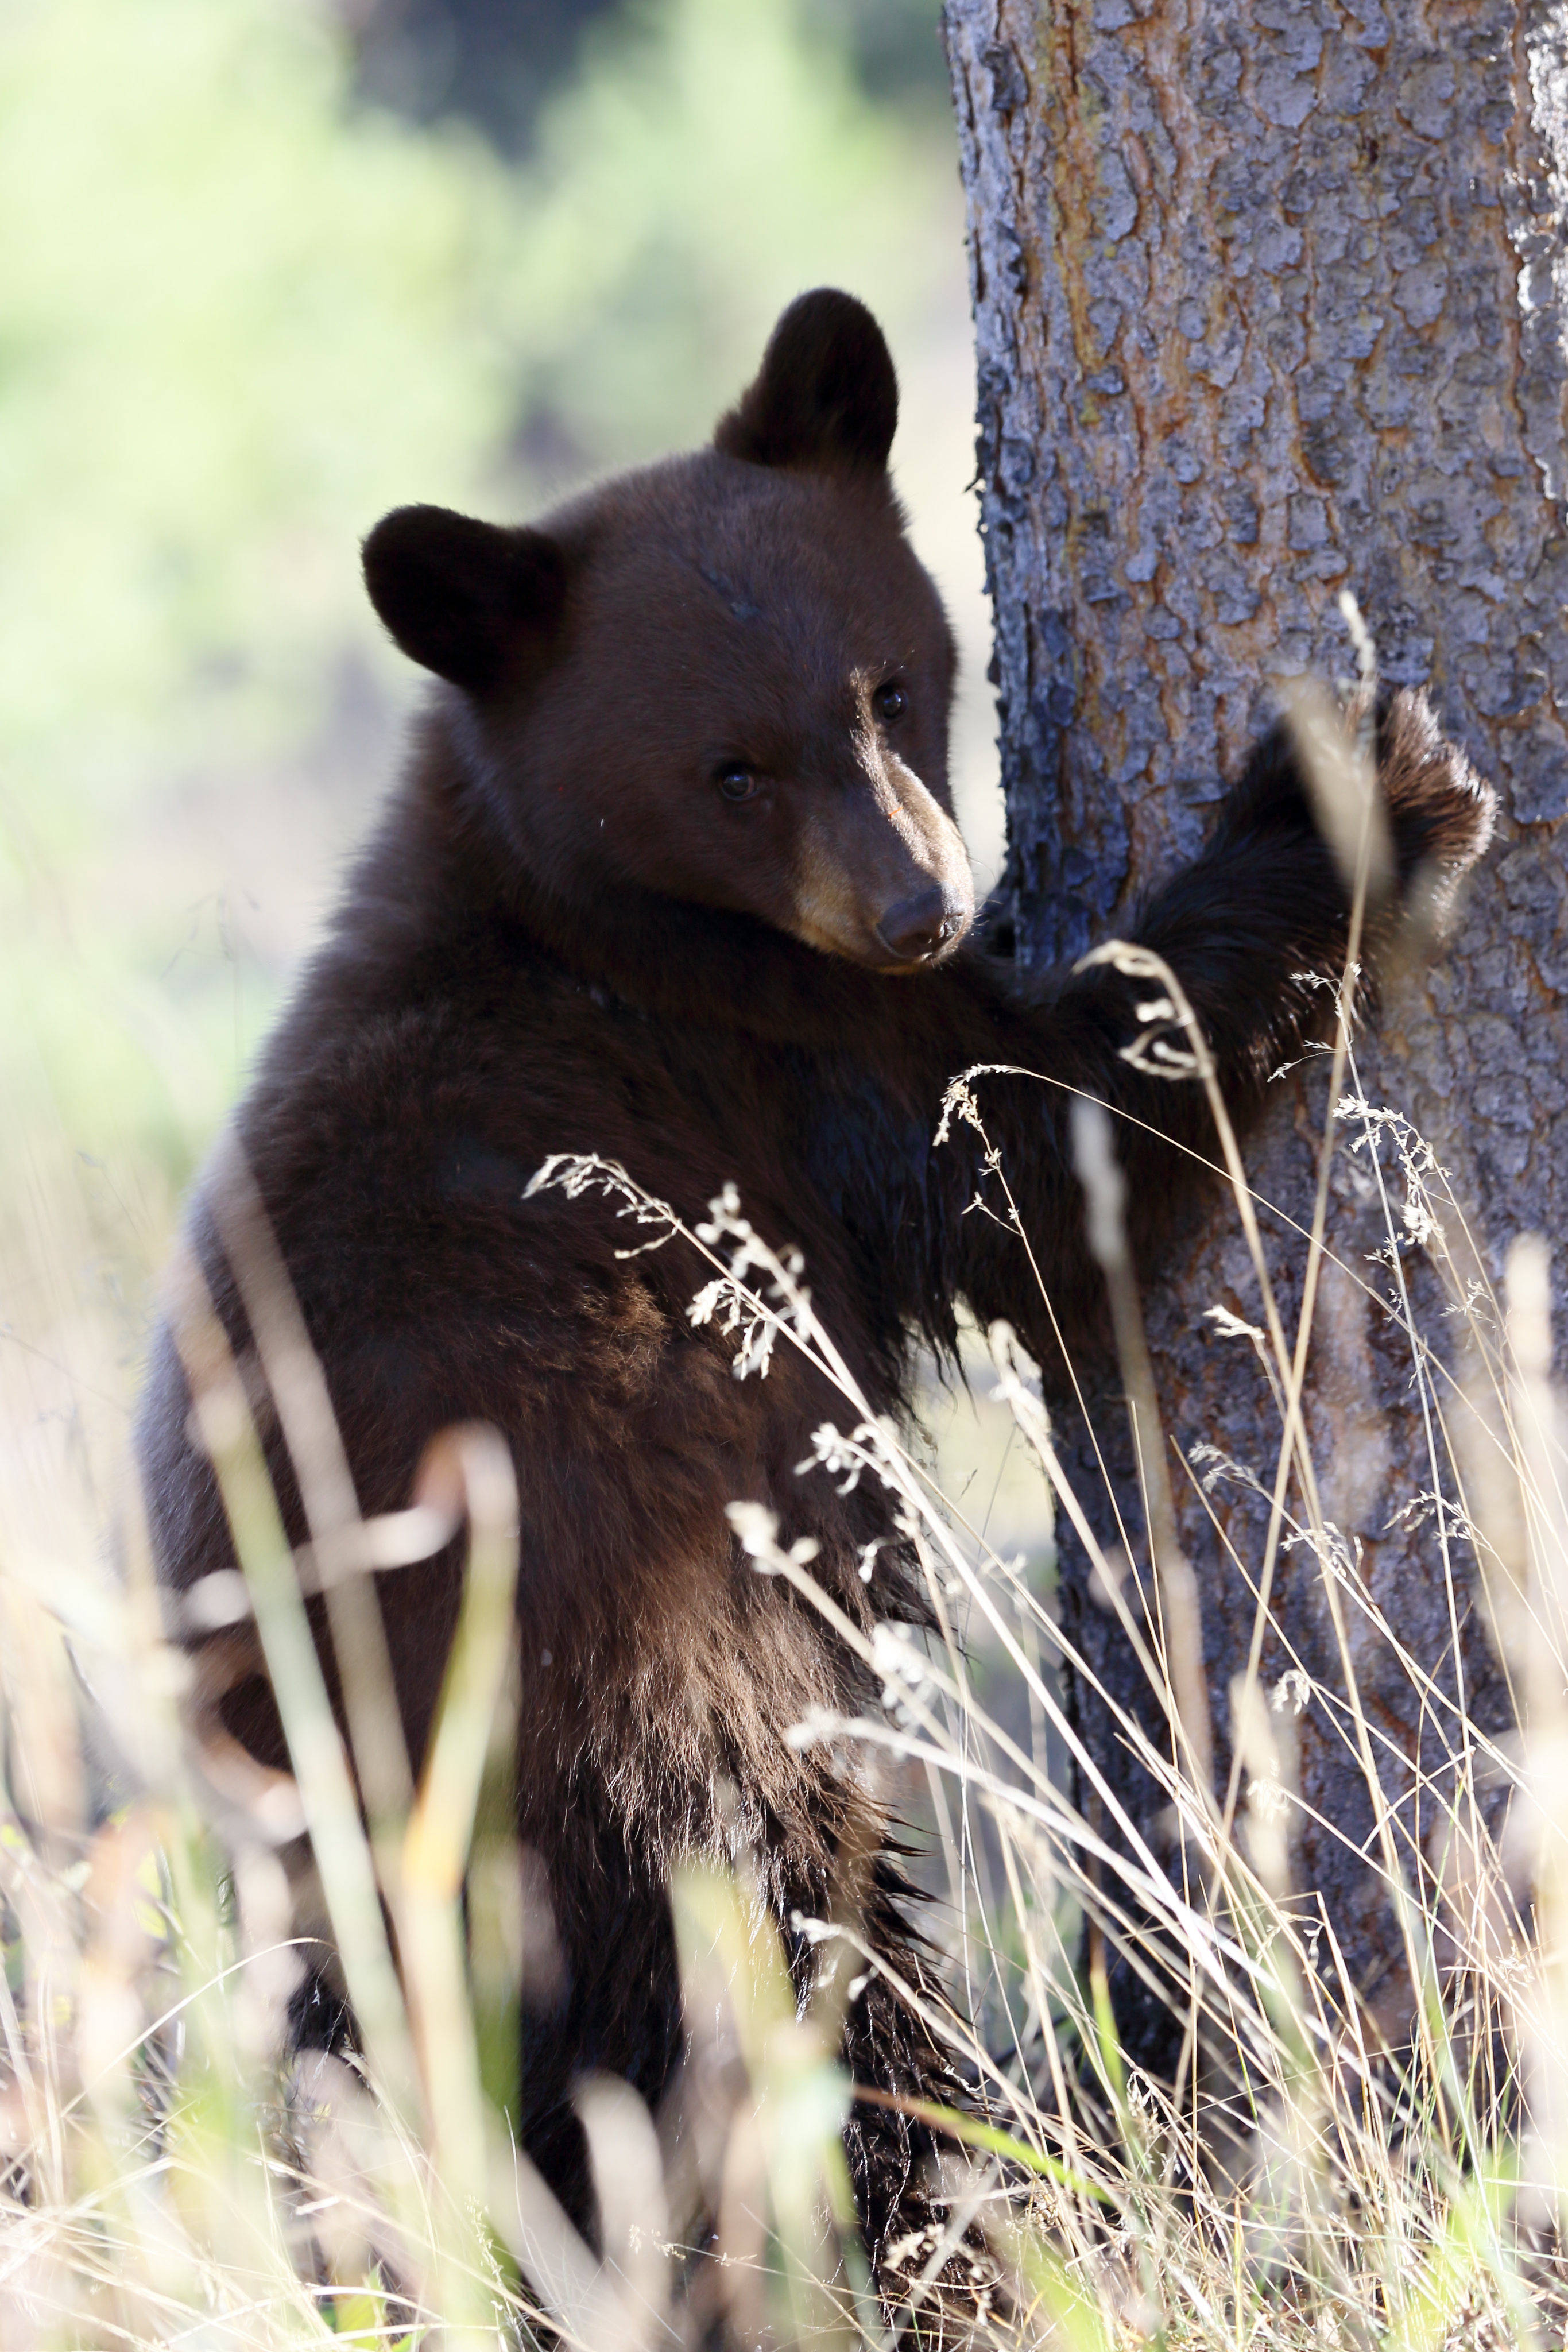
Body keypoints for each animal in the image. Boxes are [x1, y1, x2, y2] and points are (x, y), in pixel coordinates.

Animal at [134, 287, 1494, 2294]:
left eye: (886, 686)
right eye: (728, 770)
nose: (919, 903)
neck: (587, 914)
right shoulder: (779, 1075)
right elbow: (1041, 1156)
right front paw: (1351, 792)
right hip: (650, 1723)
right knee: (790, 1989)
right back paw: (968, 2213)